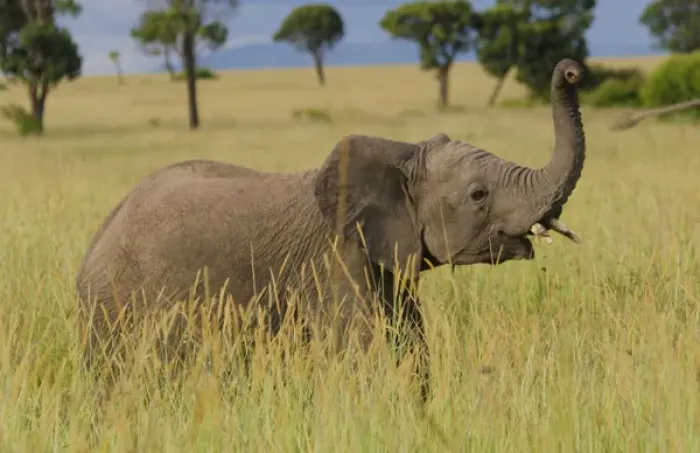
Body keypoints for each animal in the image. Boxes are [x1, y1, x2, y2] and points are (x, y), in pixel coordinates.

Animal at [75, 58, 587, 401]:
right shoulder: (333, 262)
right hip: (116, 311)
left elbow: (409, 343)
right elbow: (362, 352)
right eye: (479, 194)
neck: (402, 155)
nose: (571, 71)